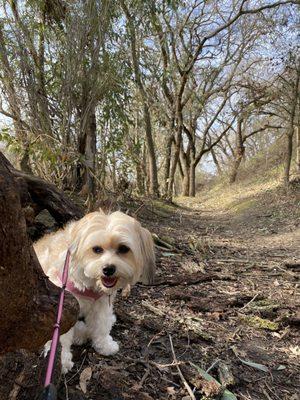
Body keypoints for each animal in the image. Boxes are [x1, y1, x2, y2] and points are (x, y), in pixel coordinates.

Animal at [34, 211, 156, 374]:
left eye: (123, 249)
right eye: (97, 249)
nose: (108, 269)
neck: (89, 283)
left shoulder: (101, 302)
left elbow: (101, 324)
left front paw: (104, 345)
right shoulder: (64, 305)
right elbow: (61, 335)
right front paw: (62, 360)